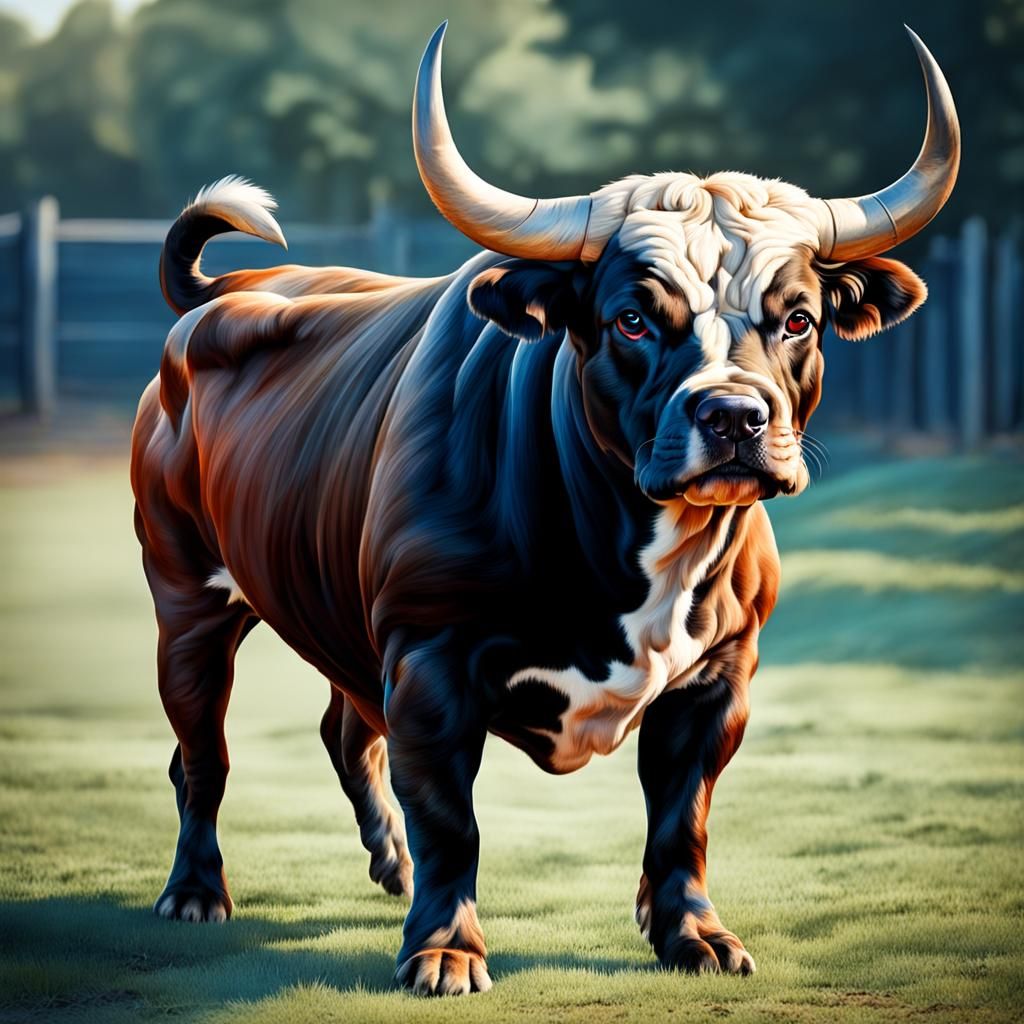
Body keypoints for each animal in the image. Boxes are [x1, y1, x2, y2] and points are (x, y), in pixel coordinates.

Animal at [131, 23, 959, 995]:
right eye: (633, 319)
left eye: (797, 319)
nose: (735, 418)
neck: (623, 552)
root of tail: (230, 294)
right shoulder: (429, 663)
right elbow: (451, 818)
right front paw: (445, 949)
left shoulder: (720, 678)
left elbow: (682, 816)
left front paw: (690, 932)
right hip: (187, 599)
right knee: (202, 753)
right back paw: (196, 890)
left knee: (343, 729)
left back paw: (389, 865)